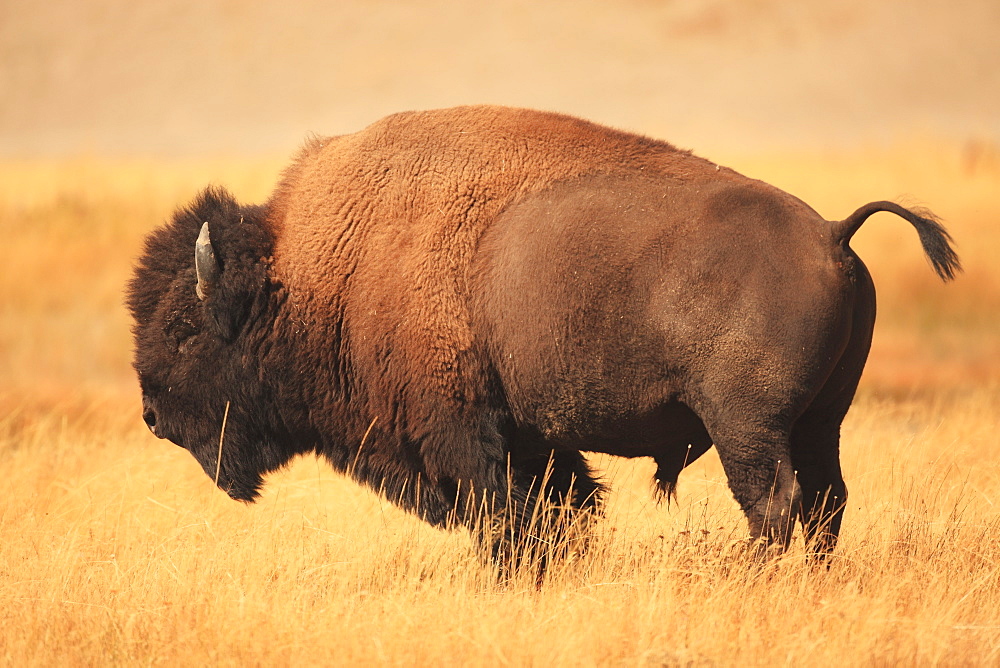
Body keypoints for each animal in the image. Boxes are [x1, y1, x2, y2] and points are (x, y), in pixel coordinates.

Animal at [129, 105, 956, 568]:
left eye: (183, 329)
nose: (152, 414)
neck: (317, 270)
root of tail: (831, 232)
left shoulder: (463, 433)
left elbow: (504, 515)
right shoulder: (530, 439)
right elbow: (560, 508)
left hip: (748, 425)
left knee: (774, 503)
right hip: (821, 421)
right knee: (825, 502)